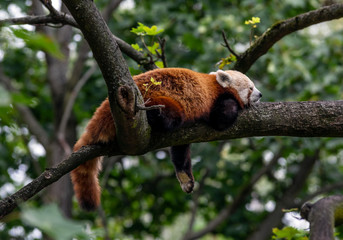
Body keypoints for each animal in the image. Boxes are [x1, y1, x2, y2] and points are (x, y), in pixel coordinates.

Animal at [70, 67, 264, 210]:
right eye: (251, 87)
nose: (260, 94)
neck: (216, 84)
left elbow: (180, 153)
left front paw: (186, 179)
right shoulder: (216, 100)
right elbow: (221, 119)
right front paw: (237, 107)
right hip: (156, 97)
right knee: (169, 114)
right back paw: (155, 115)